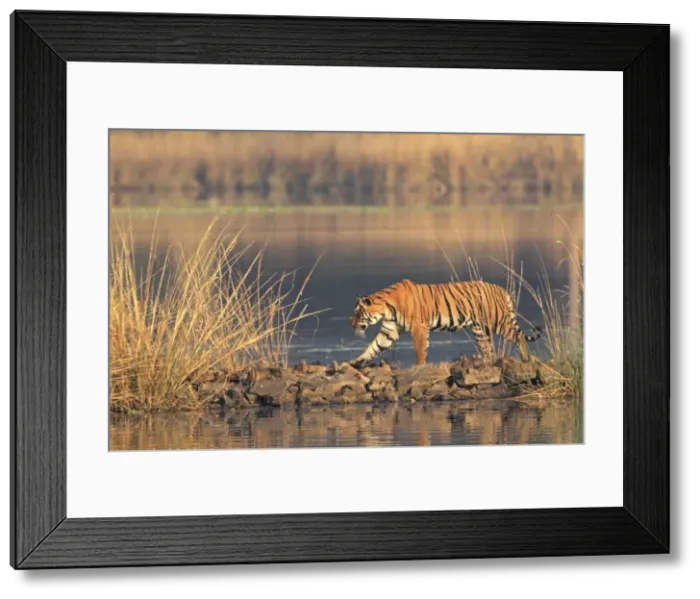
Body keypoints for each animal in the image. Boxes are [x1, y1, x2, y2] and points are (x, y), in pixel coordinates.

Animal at [349, 278, 541, 367]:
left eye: (358, 313)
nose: (352, 326)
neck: (386, 309)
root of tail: (501, 289)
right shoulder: (389, 331)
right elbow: (373, 348)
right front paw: (355, 362)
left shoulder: (419, 327)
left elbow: (420, 350)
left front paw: (420, 367)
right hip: (480, 329)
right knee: (489, 350)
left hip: (498, 321)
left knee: (518, 336)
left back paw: (526, 360)